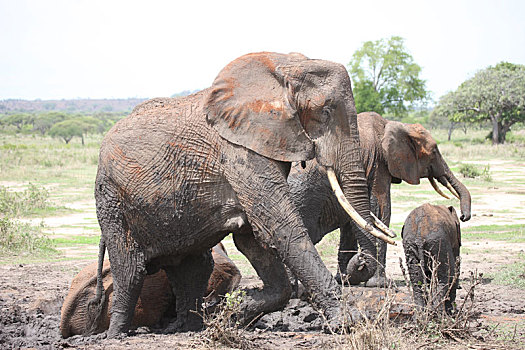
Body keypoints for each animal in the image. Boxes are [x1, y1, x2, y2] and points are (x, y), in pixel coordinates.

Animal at [91, 52, 392, 336]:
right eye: (325, 112)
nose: (359, 262)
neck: (284, 67)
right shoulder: (238, 152)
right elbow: (280, 229)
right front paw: (349, 322)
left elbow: (252, 238)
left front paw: (235, 314)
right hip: (110, 197)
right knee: (130, 270)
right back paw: (116, 334)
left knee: (192, 268)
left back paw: (188, 327)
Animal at [286, 112, 470, 288]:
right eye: (434, 151)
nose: (463, 216)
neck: (395, 124)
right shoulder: (378, 163)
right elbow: (380, 209)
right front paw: (379, 284)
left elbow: (353, 223)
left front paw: (345, 280)